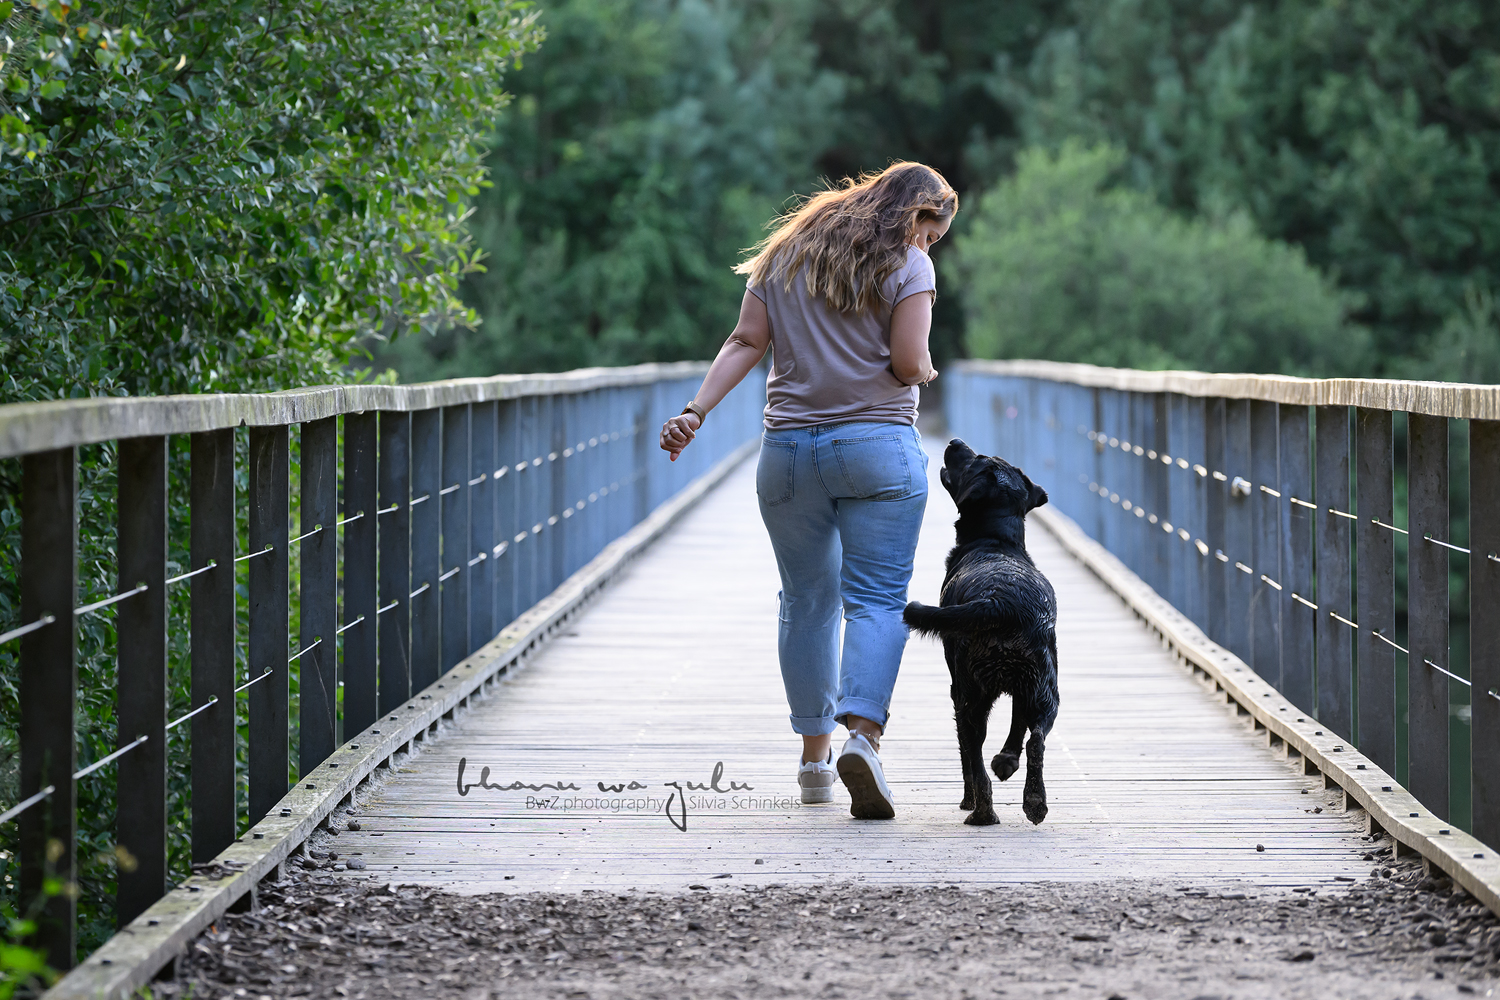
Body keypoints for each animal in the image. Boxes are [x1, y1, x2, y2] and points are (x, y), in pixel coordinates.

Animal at [894, 440, 1062, 827]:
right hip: (1046, 688)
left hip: (969, 693)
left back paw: (981, 811)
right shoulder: (1024, 688)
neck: (995, 540)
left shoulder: (961, 690)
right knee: (1036, 739)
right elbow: (1018, 727)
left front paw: (973, 793)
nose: (955, 442)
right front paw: (1007, 762)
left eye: (976, 460)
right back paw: (1034, 801)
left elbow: (968, 756)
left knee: (974, 756)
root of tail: (1000, 603)